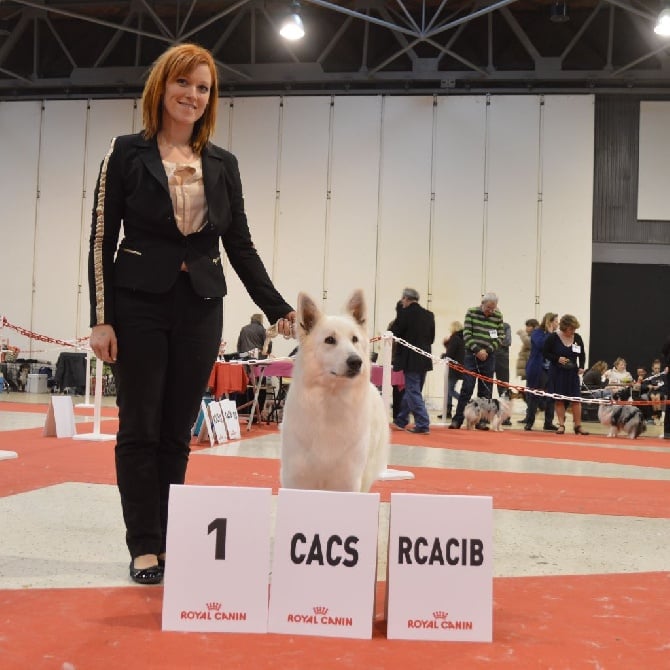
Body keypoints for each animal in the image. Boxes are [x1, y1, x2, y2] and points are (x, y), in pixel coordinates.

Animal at [280, 288, 392, 494]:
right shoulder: (296, 479)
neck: (331, 399)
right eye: (330, 340)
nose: (356, 362)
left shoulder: (348, 481)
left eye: (354, 339)